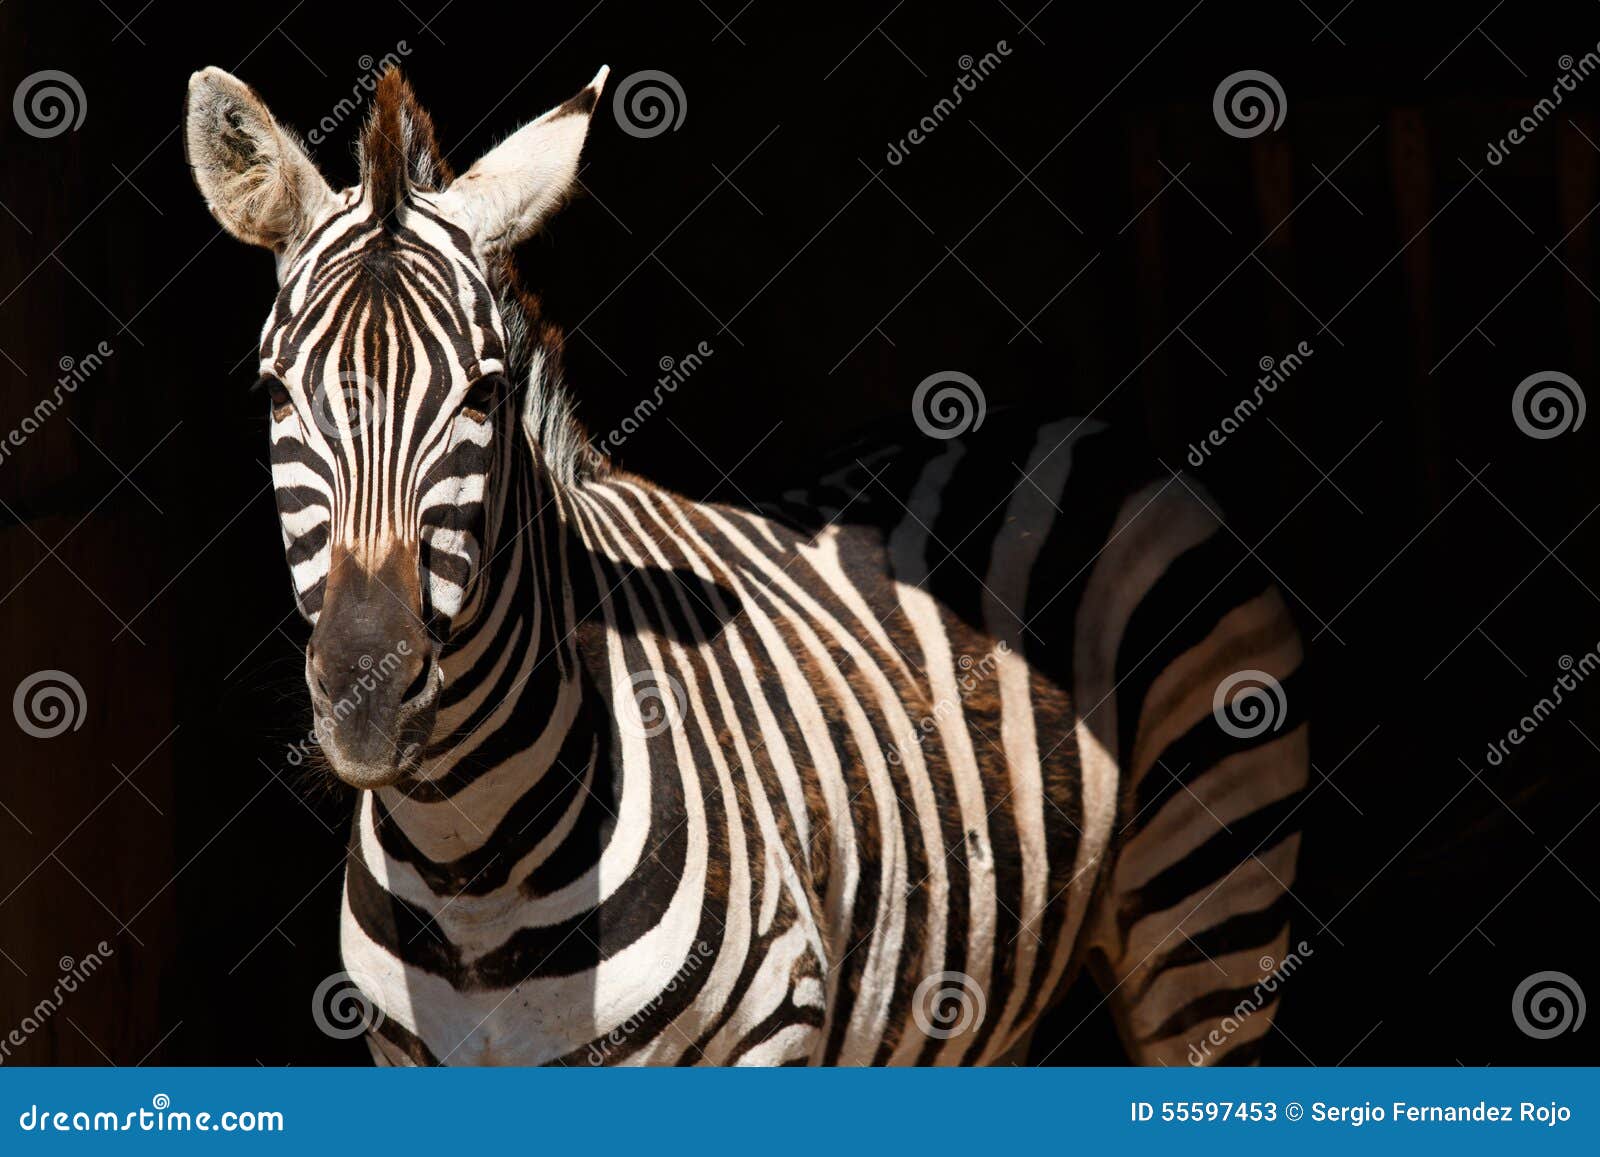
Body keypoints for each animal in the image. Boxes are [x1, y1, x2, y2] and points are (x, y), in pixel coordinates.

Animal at [183, 64, 1309, 1066]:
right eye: (275, 393)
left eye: (486, 393)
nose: (367, 692)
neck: (470, 866)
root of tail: (1069, 425)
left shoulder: (771, 1030)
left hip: (1210, 905)